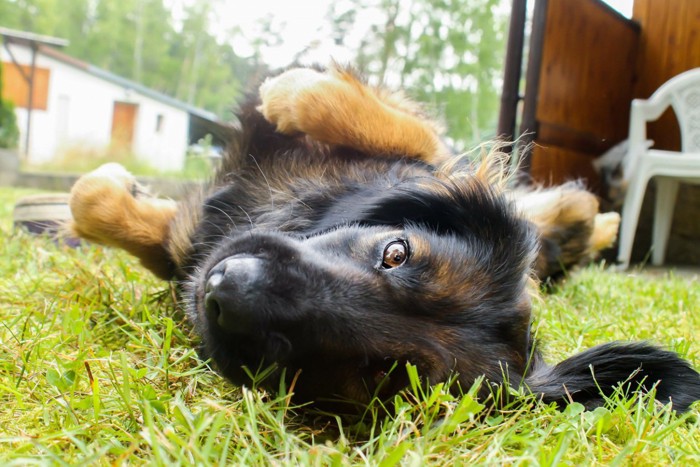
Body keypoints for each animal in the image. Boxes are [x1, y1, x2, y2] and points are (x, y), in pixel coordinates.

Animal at [67, 66, 700, 414]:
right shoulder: (433, 158)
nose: (228, 291)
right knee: (566, 211)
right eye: (396, 252)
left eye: (382, 375)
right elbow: (90, 200)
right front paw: (291, 89)